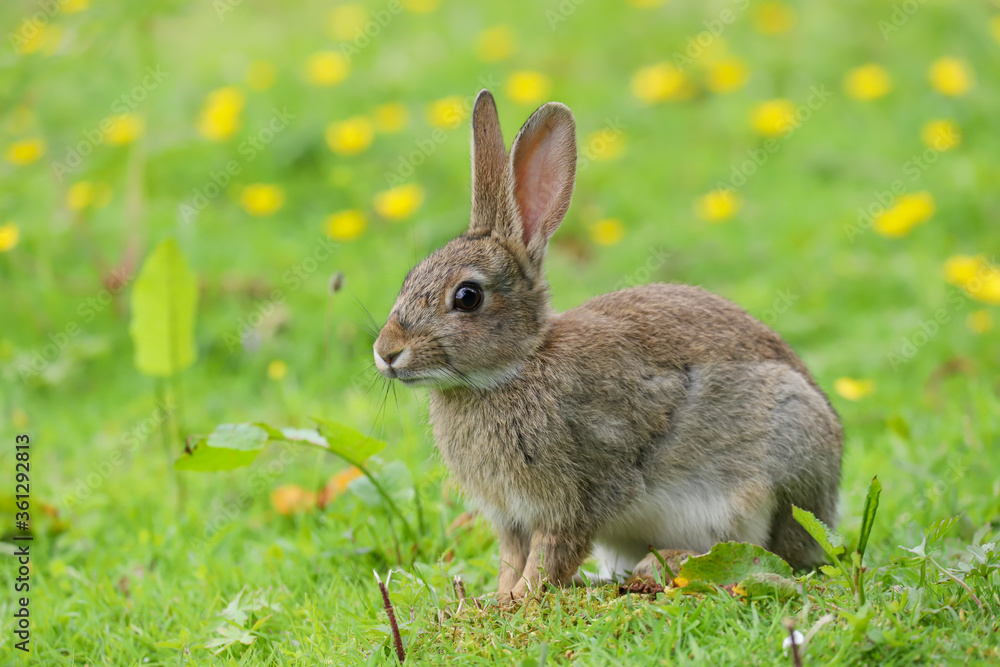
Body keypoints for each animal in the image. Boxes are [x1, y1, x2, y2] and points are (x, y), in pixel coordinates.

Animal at [373, 90, 843, 601]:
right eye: (408, 278)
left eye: (467, 296)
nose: (386, 351)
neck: (516, 367)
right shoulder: (511, 516)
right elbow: (511, 558)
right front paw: (494, 599)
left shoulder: (577, 495)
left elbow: (549, 554)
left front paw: (520, 601)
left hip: (782, 461)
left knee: (766, 552)